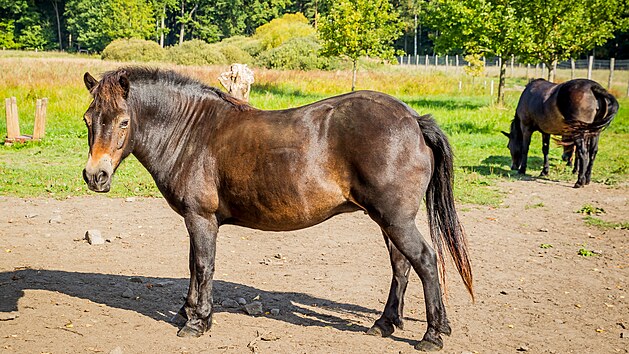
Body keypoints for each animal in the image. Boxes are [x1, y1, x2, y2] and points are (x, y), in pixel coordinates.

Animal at [79, 66, 472, 352]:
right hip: (389, 220)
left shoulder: (201, 218)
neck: (193, 132)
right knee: (401, 266)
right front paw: (186, 313)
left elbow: (202, 266)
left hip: (395, 219)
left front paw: (197, 321)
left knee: (425, 261)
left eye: (124, 121)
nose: (95, 176)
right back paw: (385, 324)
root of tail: (413, 120)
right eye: (88, 120)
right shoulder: (196, 220)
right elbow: (193, 266)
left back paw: (433, 334)